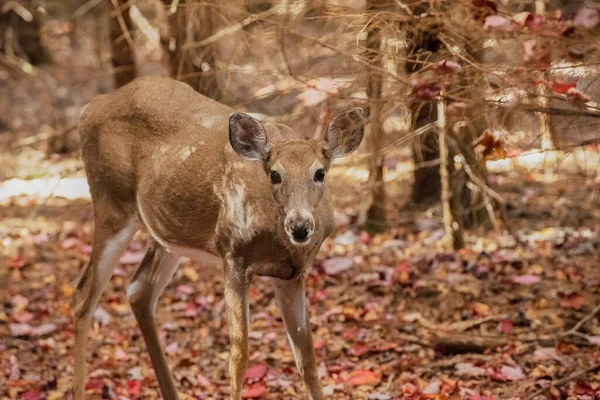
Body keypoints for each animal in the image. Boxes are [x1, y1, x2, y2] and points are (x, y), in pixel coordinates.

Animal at [74, 76, 366, 400]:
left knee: (138, 290)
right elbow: (238, 357)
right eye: (275, 174)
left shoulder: (293, 274)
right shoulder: (233, 254)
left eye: (320, 173)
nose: (300, 227)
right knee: (83, 296)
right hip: (111, 202)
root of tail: (91, 106)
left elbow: (308, 360)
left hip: (165, 234)